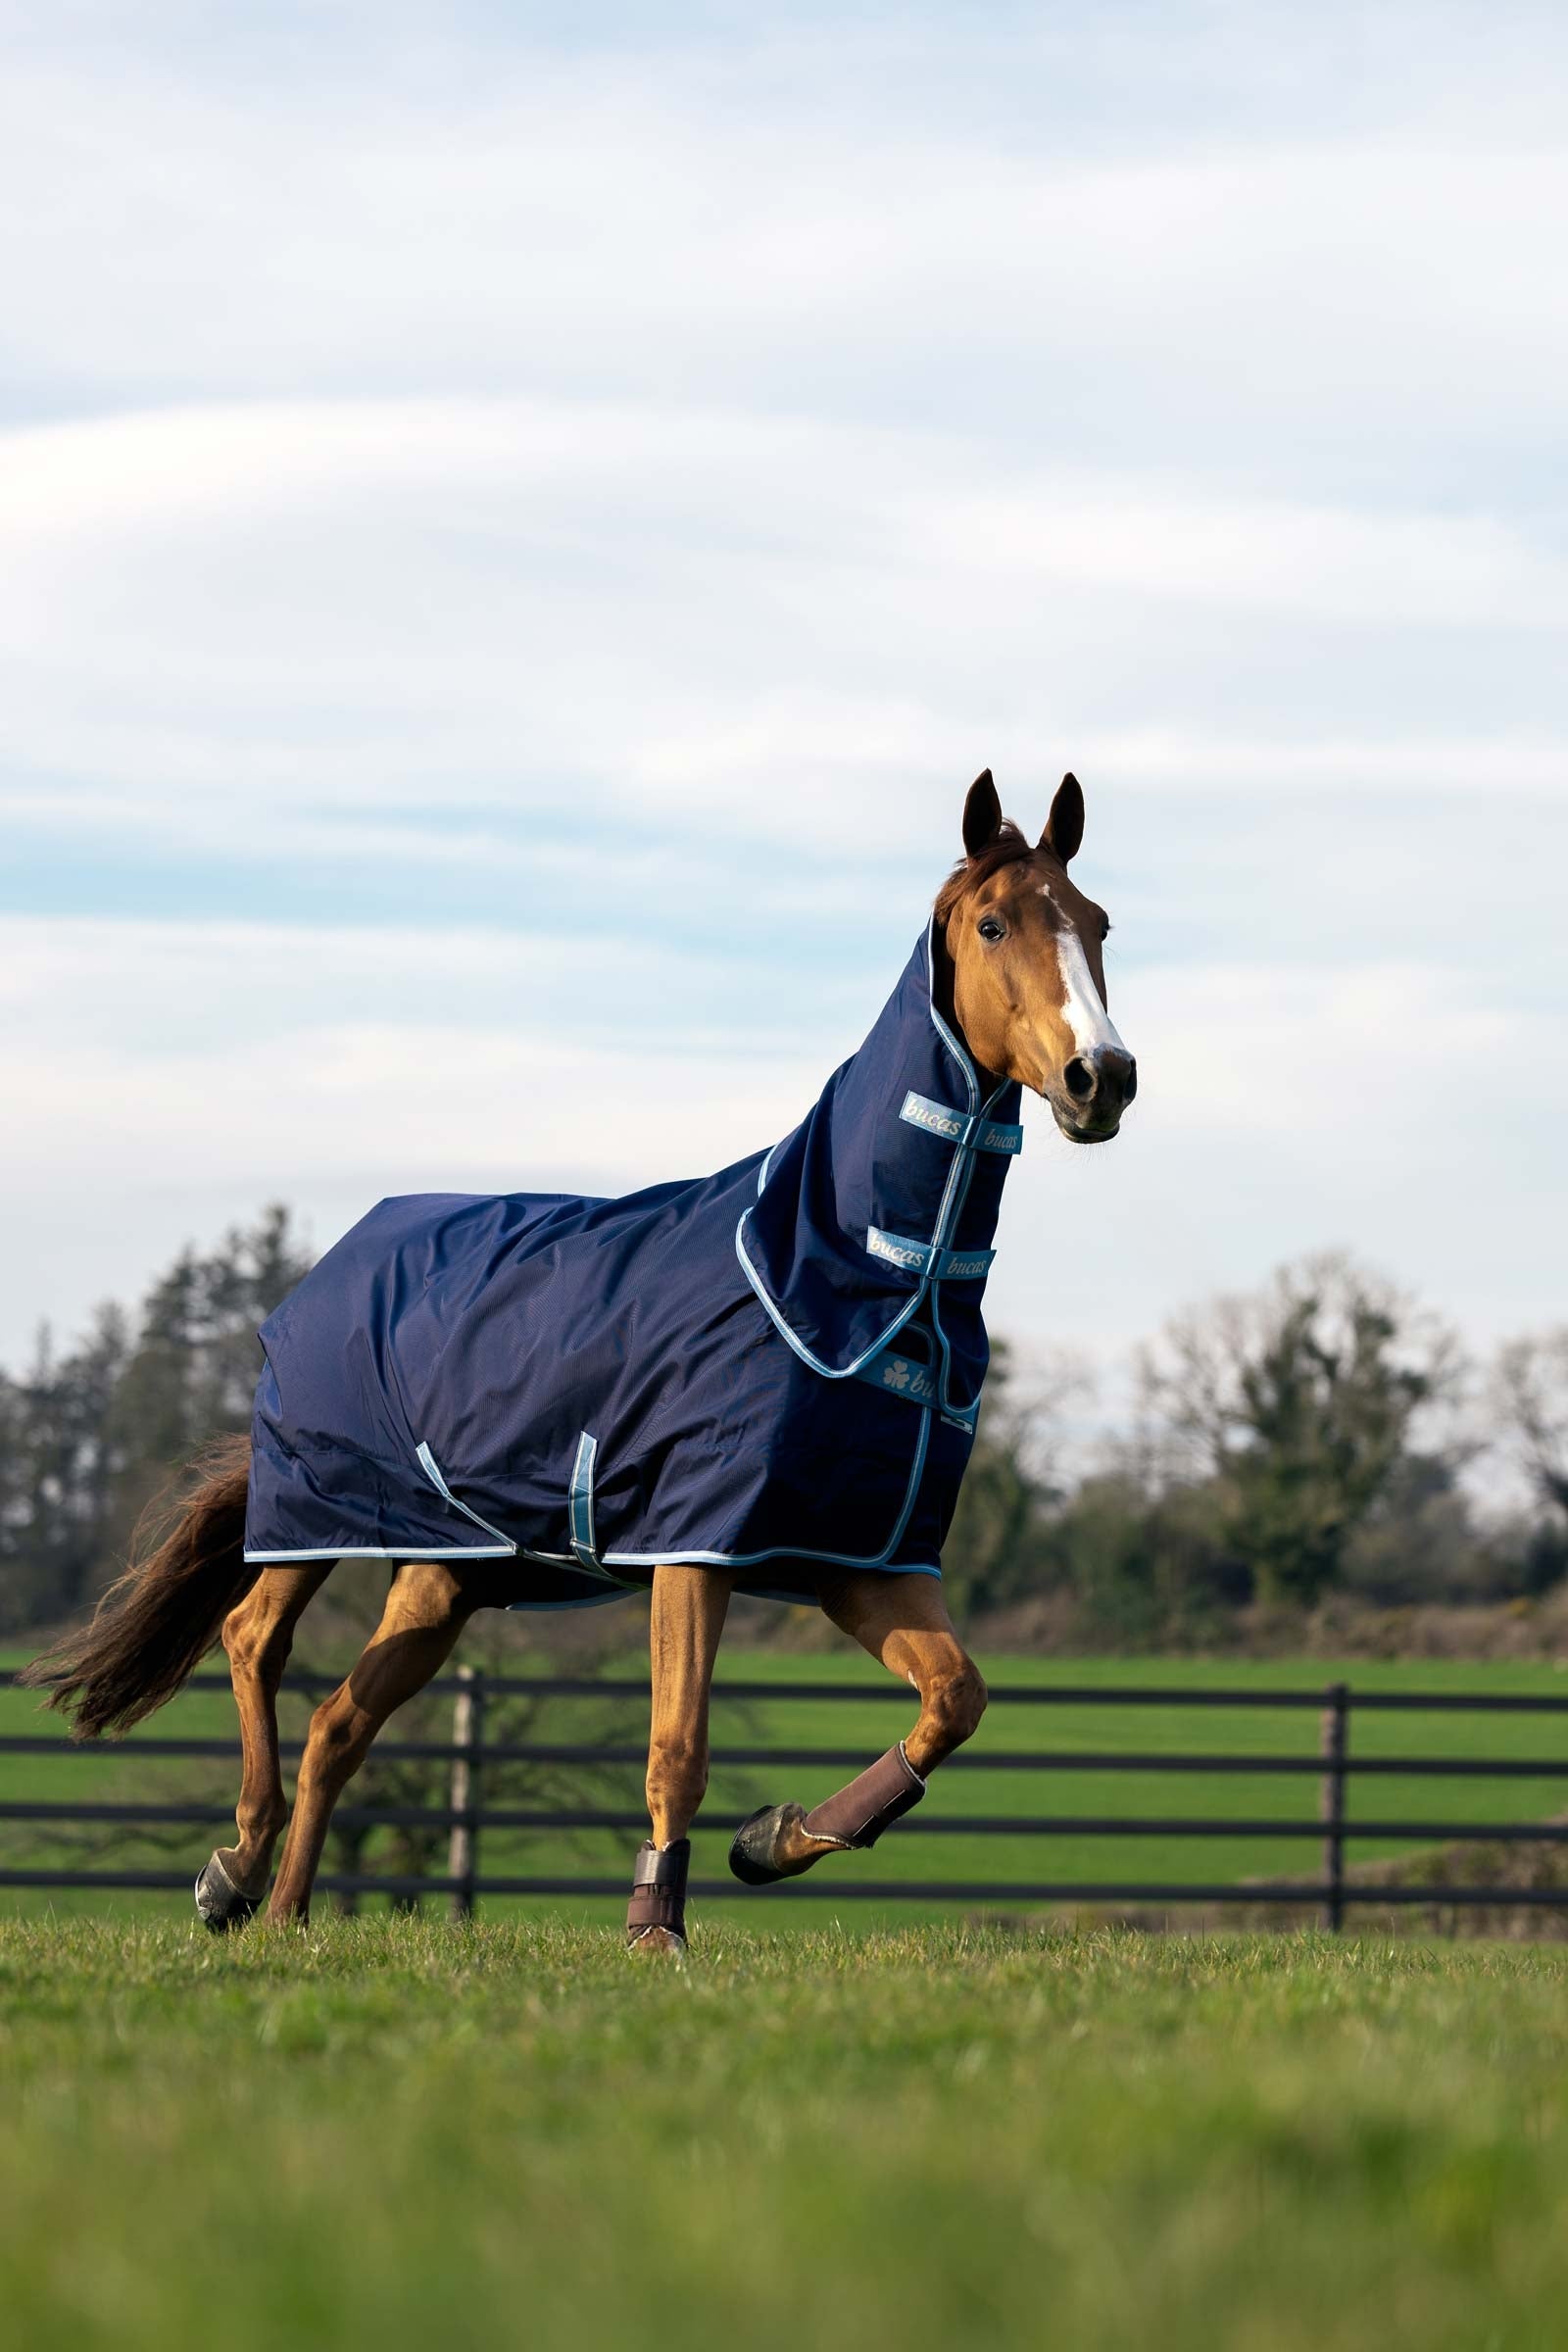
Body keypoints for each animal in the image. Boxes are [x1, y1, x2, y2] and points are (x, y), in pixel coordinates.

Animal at [22, 769, 1136, 1954]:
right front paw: (656, 1928)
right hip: (312, 1513)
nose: (1101, 1078)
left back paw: (284, 1914)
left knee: (338, 1721)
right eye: (994, 924)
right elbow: (676, 1746)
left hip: (445, 1575)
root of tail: (327, 1267)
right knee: (250, 1641)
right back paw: (230, 1871)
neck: (845, 1275)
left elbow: (955, 1699)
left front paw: (774, 1841)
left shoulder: (856, 1556)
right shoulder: (695, 1547)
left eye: (1099, 922)